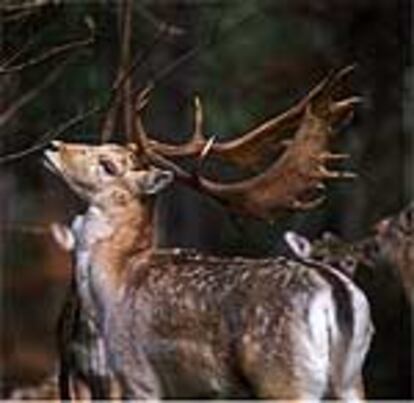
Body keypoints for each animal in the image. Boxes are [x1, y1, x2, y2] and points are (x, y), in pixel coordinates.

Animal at [42, 67, 376, 400]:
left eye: (108, 165)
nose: (54, 147)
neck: (113, 283)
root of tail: (338, 293)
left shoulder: (138, 376)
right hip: (351, 380)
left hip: (285, 376)